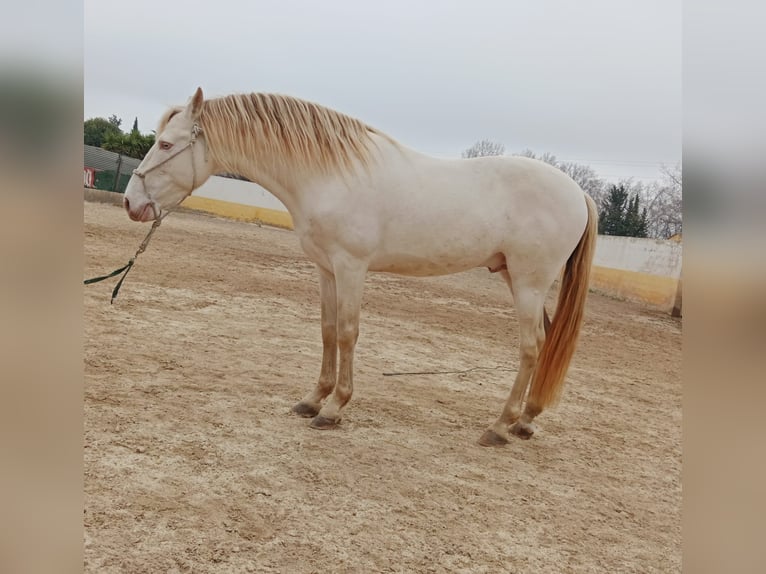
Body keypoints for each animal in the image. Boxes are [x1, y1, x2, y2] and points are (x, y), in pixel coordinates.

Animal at [124, 88, 600, 448]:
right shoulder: (326, 269)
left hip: (528, 283)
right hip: (517, 280)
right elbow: (328, 329)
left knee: (531, 347)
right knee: (544, 343)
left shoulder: (351, 267)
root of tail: (578, 193)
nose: (132, 203)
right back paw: (526, 419)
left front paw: (334, 408)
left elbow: (348, 333)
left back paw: (499, 426)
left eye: (166, 144)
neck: (329, 174)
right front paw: (312, 400)